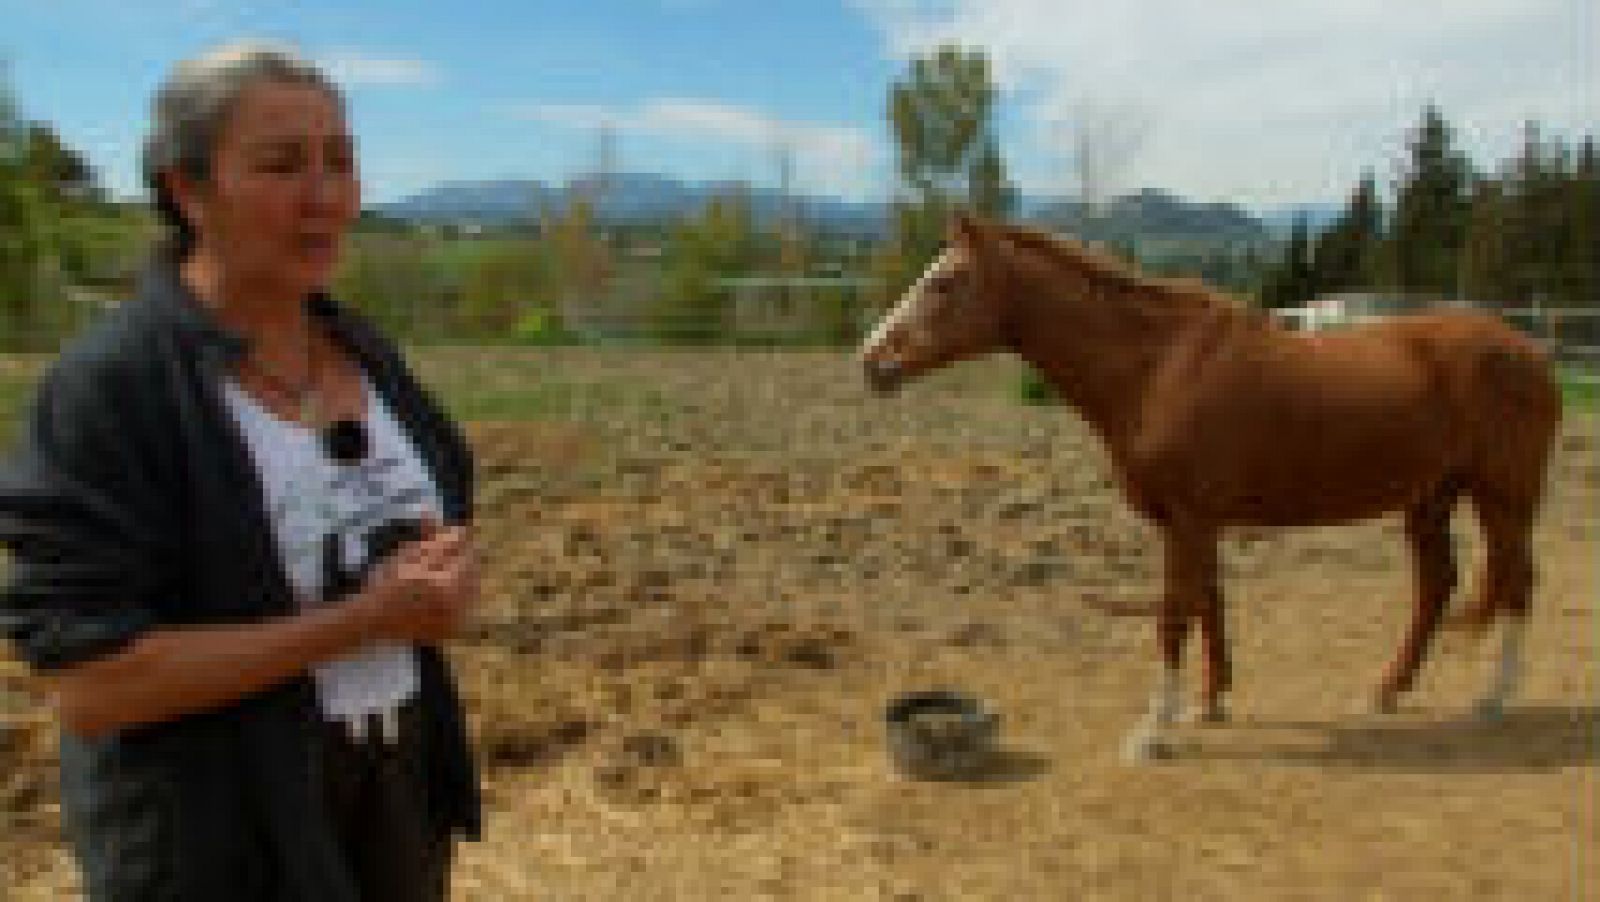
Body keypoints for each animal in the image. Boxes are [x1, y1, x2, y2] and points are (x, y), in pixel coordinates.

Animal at [864, 211, 1561, 761]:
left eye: (943, 282)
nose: (872, 360)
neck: (1160, 366)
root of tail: (1530, 350)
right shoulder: (1199, 522)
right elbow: (1211, 604)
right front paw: (1211, 704)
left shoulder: (1189, 519)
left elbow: (1175, 615)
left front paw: (1154, 731)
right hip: (1431, 500)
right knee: (1436, 587)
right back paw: (1388, 690)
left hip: (1505, 499)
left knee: (1517, 584)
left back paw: (1492, 699)